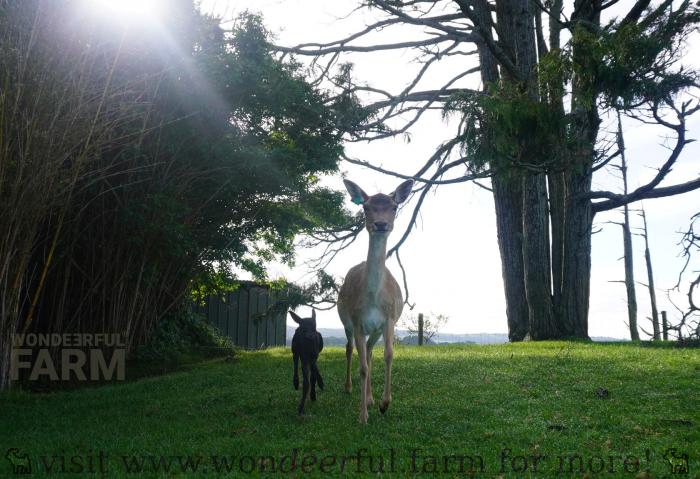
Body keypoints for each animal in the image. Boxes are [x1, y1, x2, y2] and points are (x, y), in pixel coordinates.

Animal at [337, 178, 414, 423]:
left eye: (394, 207)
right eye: (366, 207)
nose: (380, 224)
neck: (372, 299)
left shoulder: (389, 319)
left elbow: (388, 355)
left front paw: (383, 403)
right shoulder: (357, 321)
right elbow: (362, 367)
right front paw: (363, 416)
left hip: (376, 330)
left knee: (370, 351)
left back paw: (370, 398)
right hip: (346, 322)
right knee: (350, 348)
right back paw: (349, 387)